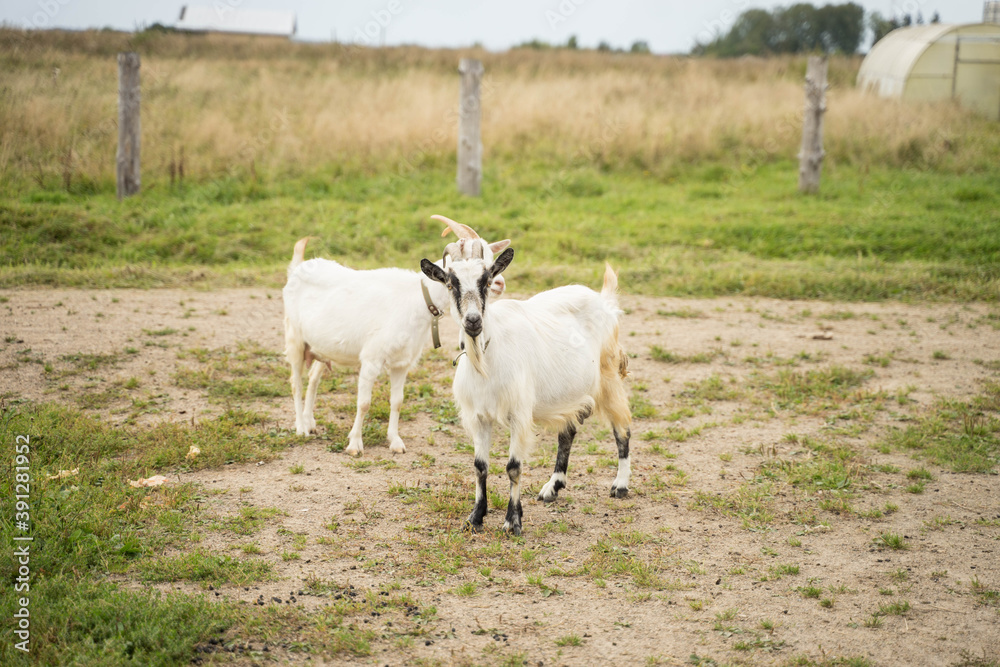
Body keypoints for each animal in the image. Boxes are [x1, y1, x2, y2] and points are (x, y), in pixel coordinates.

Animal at [286, 228, 512, 454]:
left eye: (486, 277)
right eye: (450, 284)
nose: (500, 283)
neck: (417, 298)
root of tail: (299, 267)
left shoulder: (402, 363)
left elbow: (397, 401)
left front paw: (395, 442)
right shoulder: (371, 360)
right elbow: (364, 403)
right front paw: (355, 444)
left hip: (322, 348)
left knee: (313, 378)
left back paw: (310, 422)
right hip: (294, 339)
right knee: (296, 383)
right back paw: (301, 428)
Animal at [418, 219, 628, 536]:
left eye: (487, 280)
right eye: (451, 284)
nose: (473, 321)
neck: (486, 361)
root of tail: (604, 300)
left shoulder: (518, 413)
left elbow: (513, 467)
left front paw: (512, 521)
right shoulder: (478, 416)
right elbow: (480, 466)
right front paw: (475, 517)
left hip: (609, 375)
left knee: (622, 428)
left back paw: (620, 485)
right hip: (570, 392)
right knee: (568, 432)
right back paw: (552, 488)